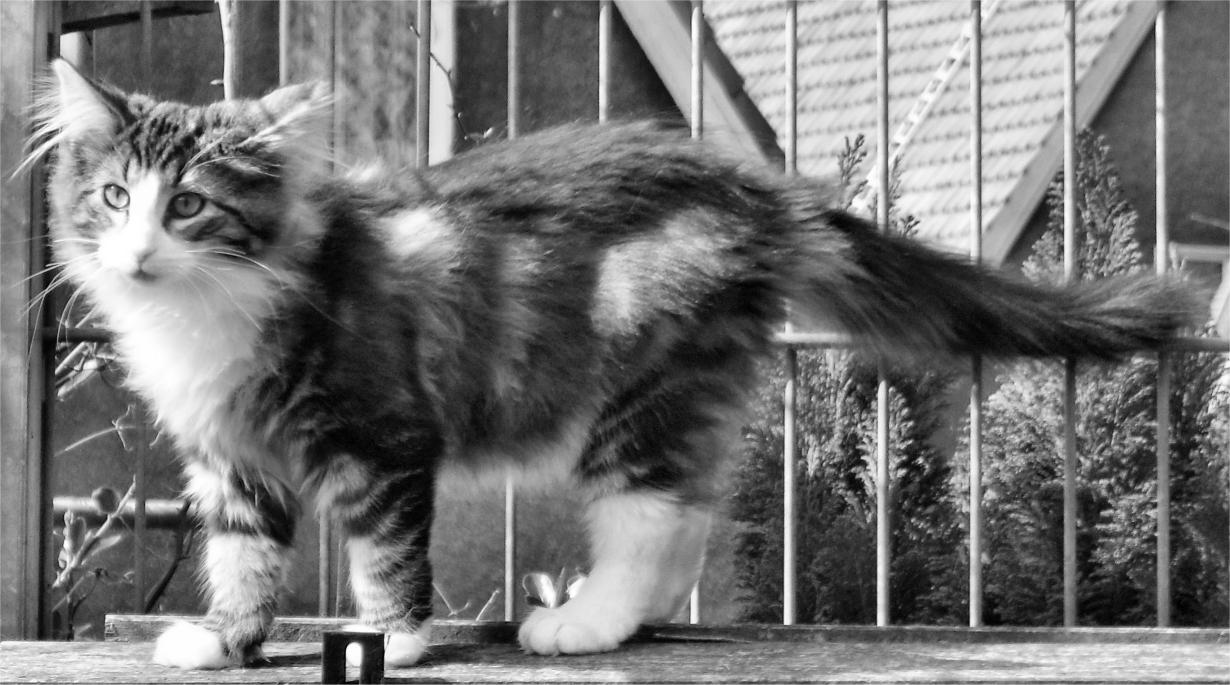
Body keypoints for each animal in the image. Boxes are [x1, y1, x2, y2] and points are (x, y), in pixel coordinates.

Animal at [29, 58, 1197, 669]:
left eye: (189, 206)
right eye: (113, 198)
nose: (136, 255)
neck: (214, 306)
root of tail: (750, 189)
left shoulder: (384, 434)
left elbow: (385, 554)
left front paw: (395, 639)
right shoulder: (232, 457)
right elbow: (243, 555)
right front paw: (225, 638)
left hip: (644, 381)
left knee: (657, 515)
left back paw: (585, 621)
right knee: (686, 522)